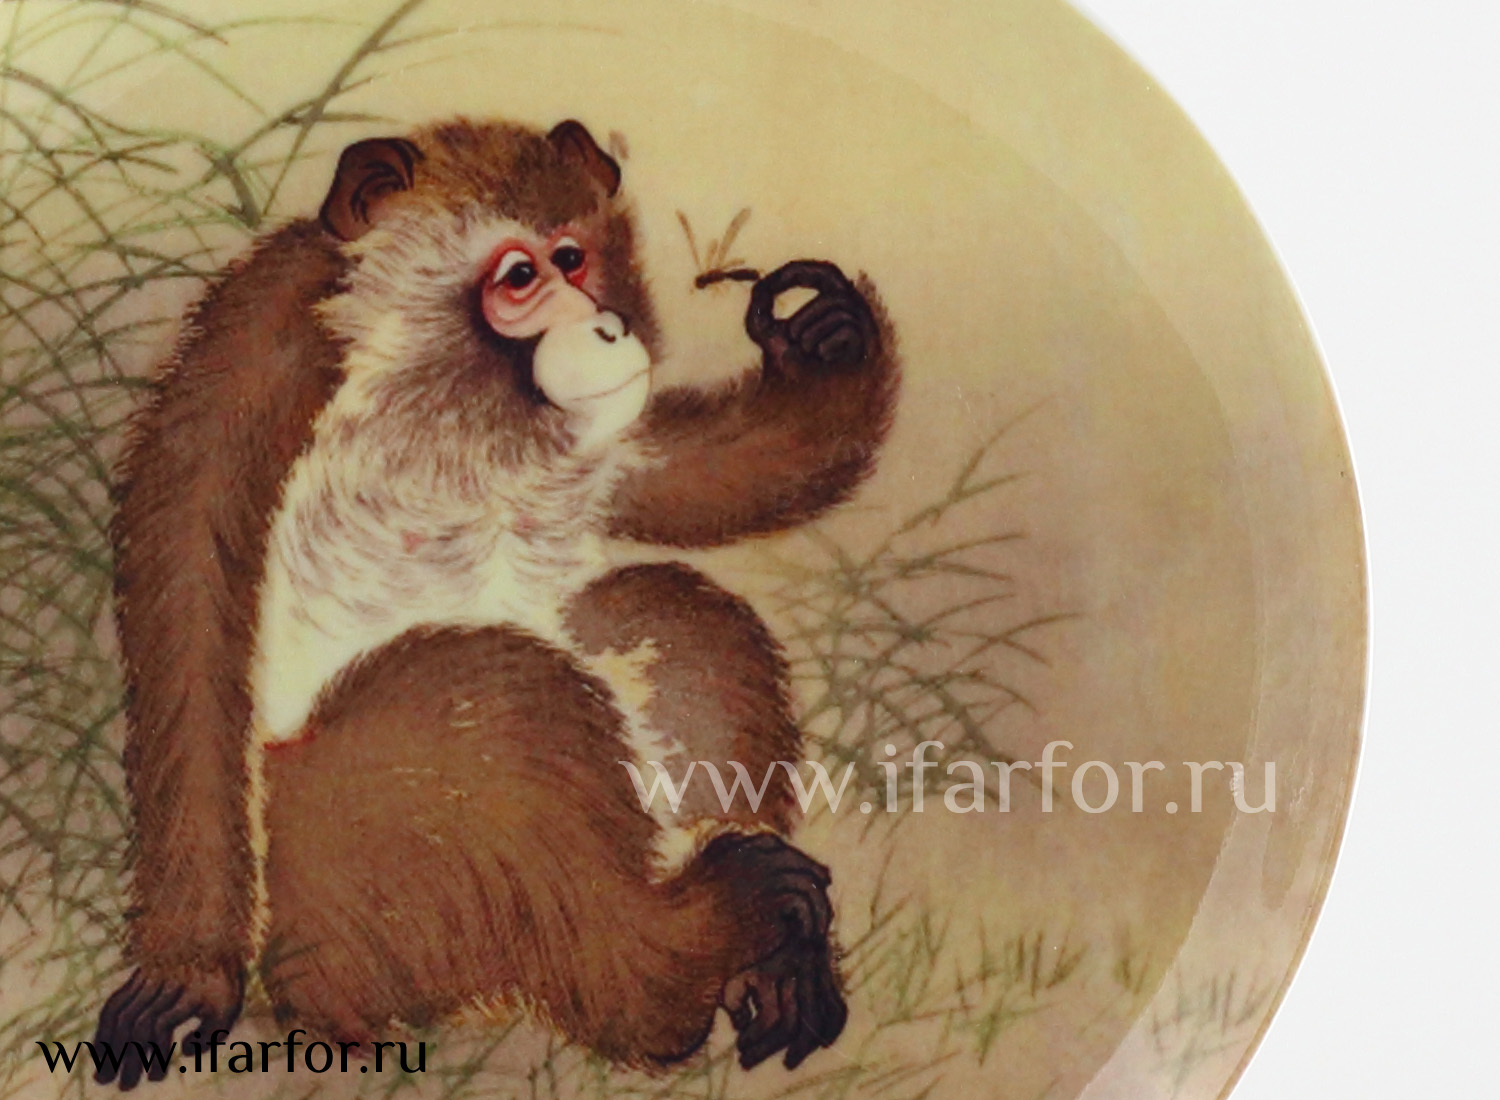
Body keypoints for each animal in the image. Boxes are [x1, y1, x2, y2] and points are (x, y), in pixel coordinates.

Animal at [94, 117, 899, 1090]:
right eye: (519, 277)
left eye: (573, 256)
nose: (606, 326)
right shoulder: (261, 343)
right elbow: (188, 600)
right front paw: (187, 976)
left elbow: (668, 476)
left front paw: (827, 347)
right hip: (333, 900)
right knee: (490, 699)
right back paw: (669, 968)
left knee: (667, 620)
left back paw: (767, 963)